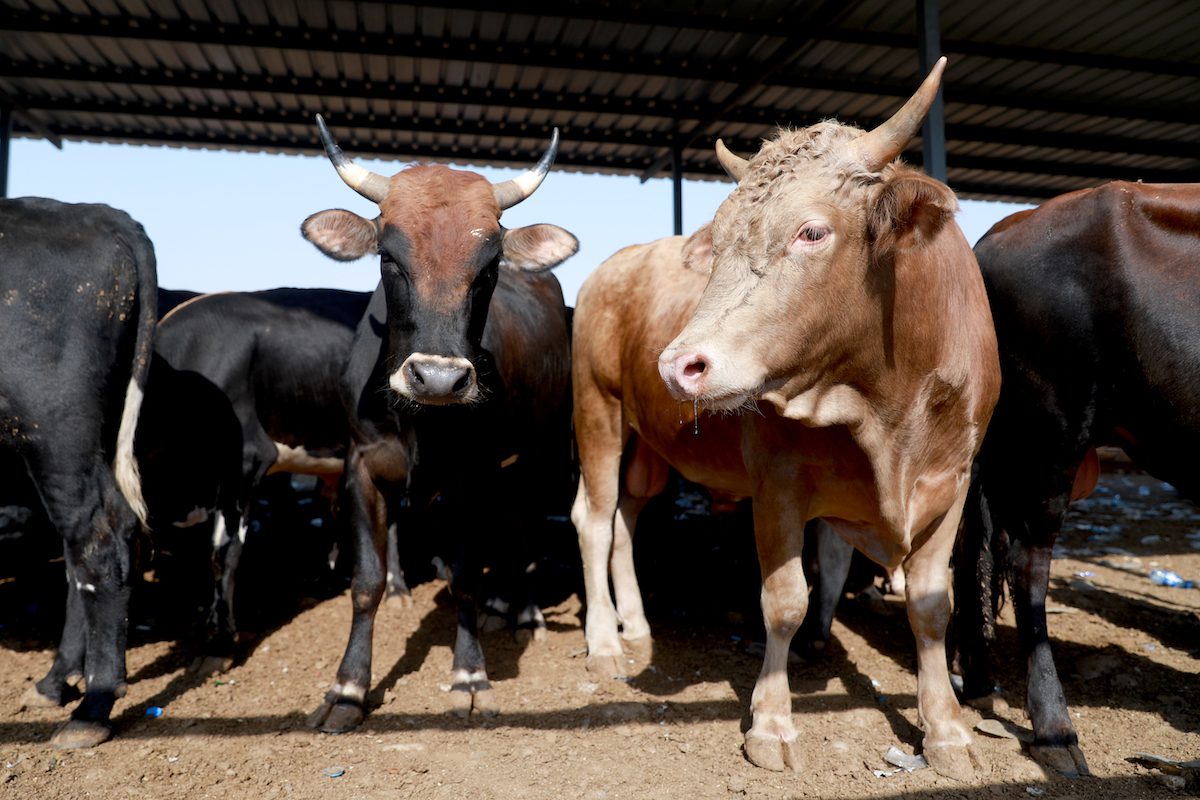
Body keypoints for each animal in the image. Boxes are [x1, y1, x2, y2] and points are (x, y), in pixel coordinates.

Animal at [299, 117, 577, 730]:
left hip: (539, 451)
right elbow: (365, 582)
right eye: (388, 257)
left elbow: (467, 574)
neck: (417, 421)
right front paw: (347, 689)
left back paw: (522, 610)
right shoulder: (362, 468)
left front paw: (470, 674)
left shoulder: (472, 476)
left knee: (524, 524)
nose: (440, 378)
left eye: (490, 266)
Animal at [573, 58, 1001, 778]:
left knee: (628, 518)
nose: (678, 365)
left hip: (649, 443)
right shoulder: (777, 481)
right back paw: (605, 642)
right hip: (597, 410)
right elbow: (784, 599)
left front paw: (946, 729)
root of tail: (615, 263)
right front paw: (771, 723)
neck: (885, 411)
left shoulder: (955, 479)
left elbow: (928, 604)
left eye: (812, 231)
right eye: (719, 242)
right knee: (594, 518)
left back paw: (637, 623)